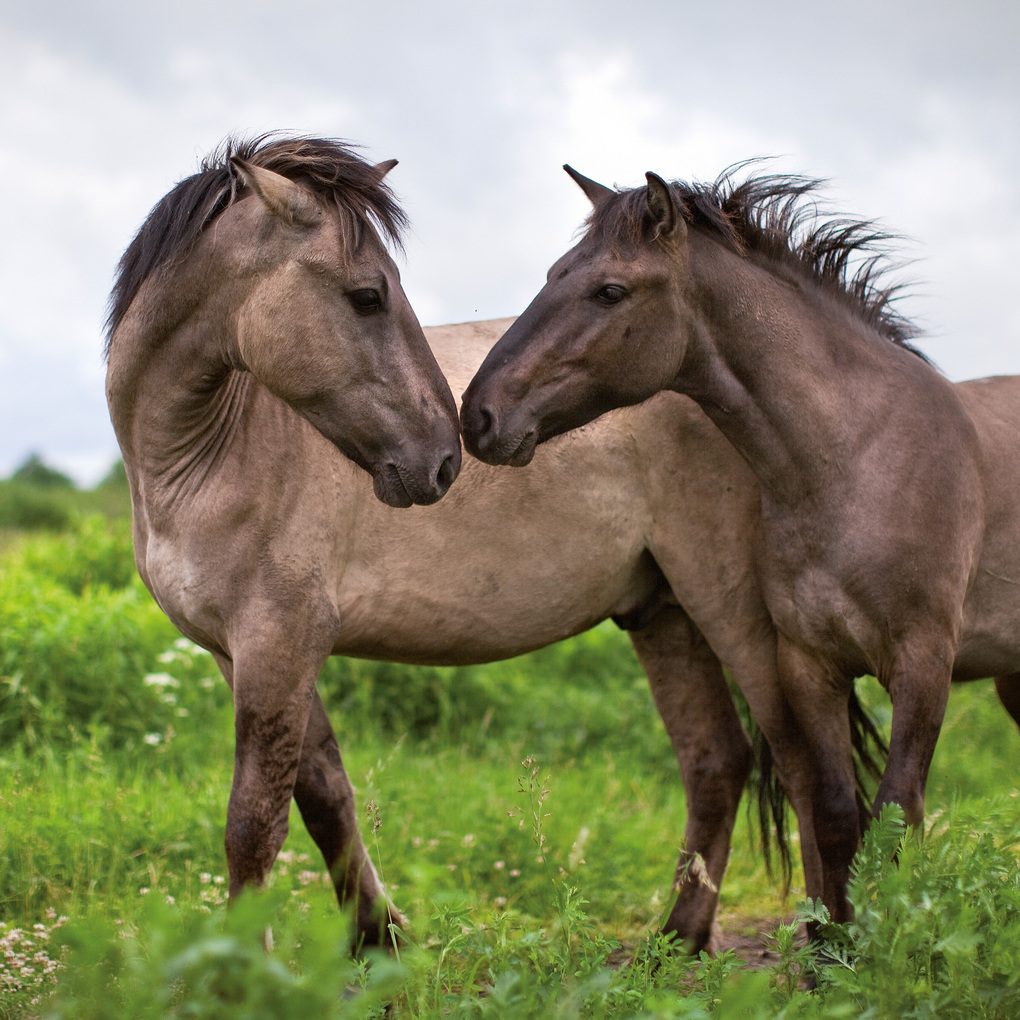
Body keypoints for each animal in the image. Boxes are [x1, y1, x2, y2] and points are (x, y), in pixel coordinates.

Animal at [461, 164, 1020, 929]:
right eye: (553, 274)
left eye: (610, 290)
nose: (477, 416)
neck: (858, 459)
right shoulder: (809, 664)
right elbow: (838, 817)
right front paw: (834, 947)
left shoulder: (923, 661)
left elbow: (897, 816)